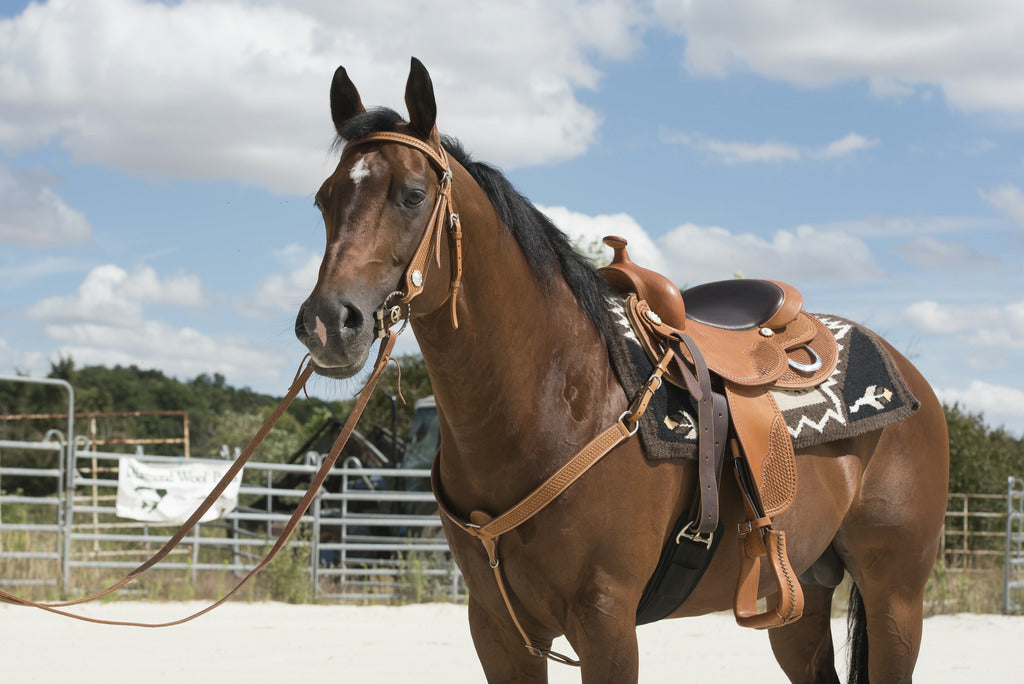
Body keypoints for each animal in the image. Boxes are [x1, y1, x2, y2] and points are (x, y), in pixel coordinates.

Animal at [296, 56, 950, 679]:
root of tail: (909, 378)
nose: (328, 322)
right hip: (803, 593)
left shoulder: (606, 623)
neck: (553, 402)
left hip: (896, 598)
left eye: (412, 194)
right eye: (323, 199)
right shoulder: (499, 630)